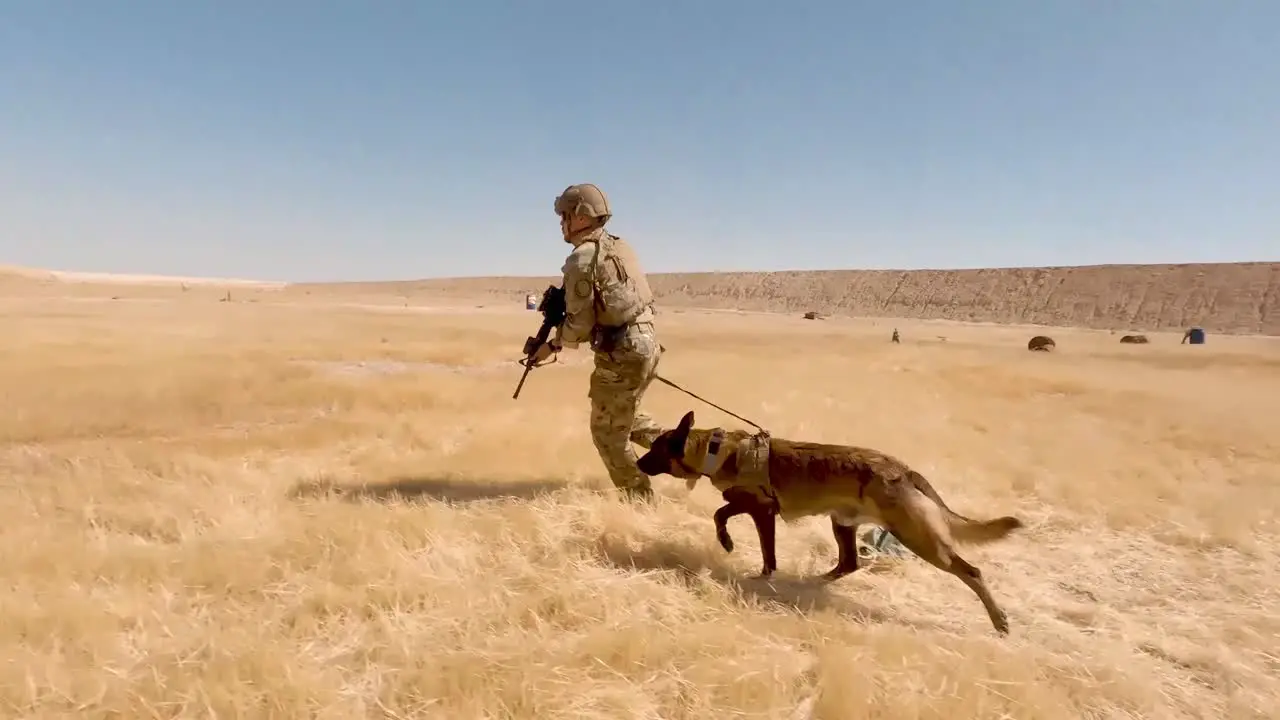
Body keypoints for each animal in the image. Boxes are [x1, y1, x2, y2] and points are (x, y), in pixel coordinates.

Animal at [634, 409, 1024, 632]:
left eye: (654, 449)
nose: (637, 463)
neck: (717, 451)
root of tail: (904, 470)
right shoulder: (754, 508)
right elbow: (726, 515)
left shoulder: (761, 510)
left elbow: (734, 525)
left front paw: (738, 553)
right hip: (843, 523)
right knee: (849, 562)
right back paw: (814, 582)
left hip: (919, 539)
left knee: (972, 572)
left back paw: (1000, 620)